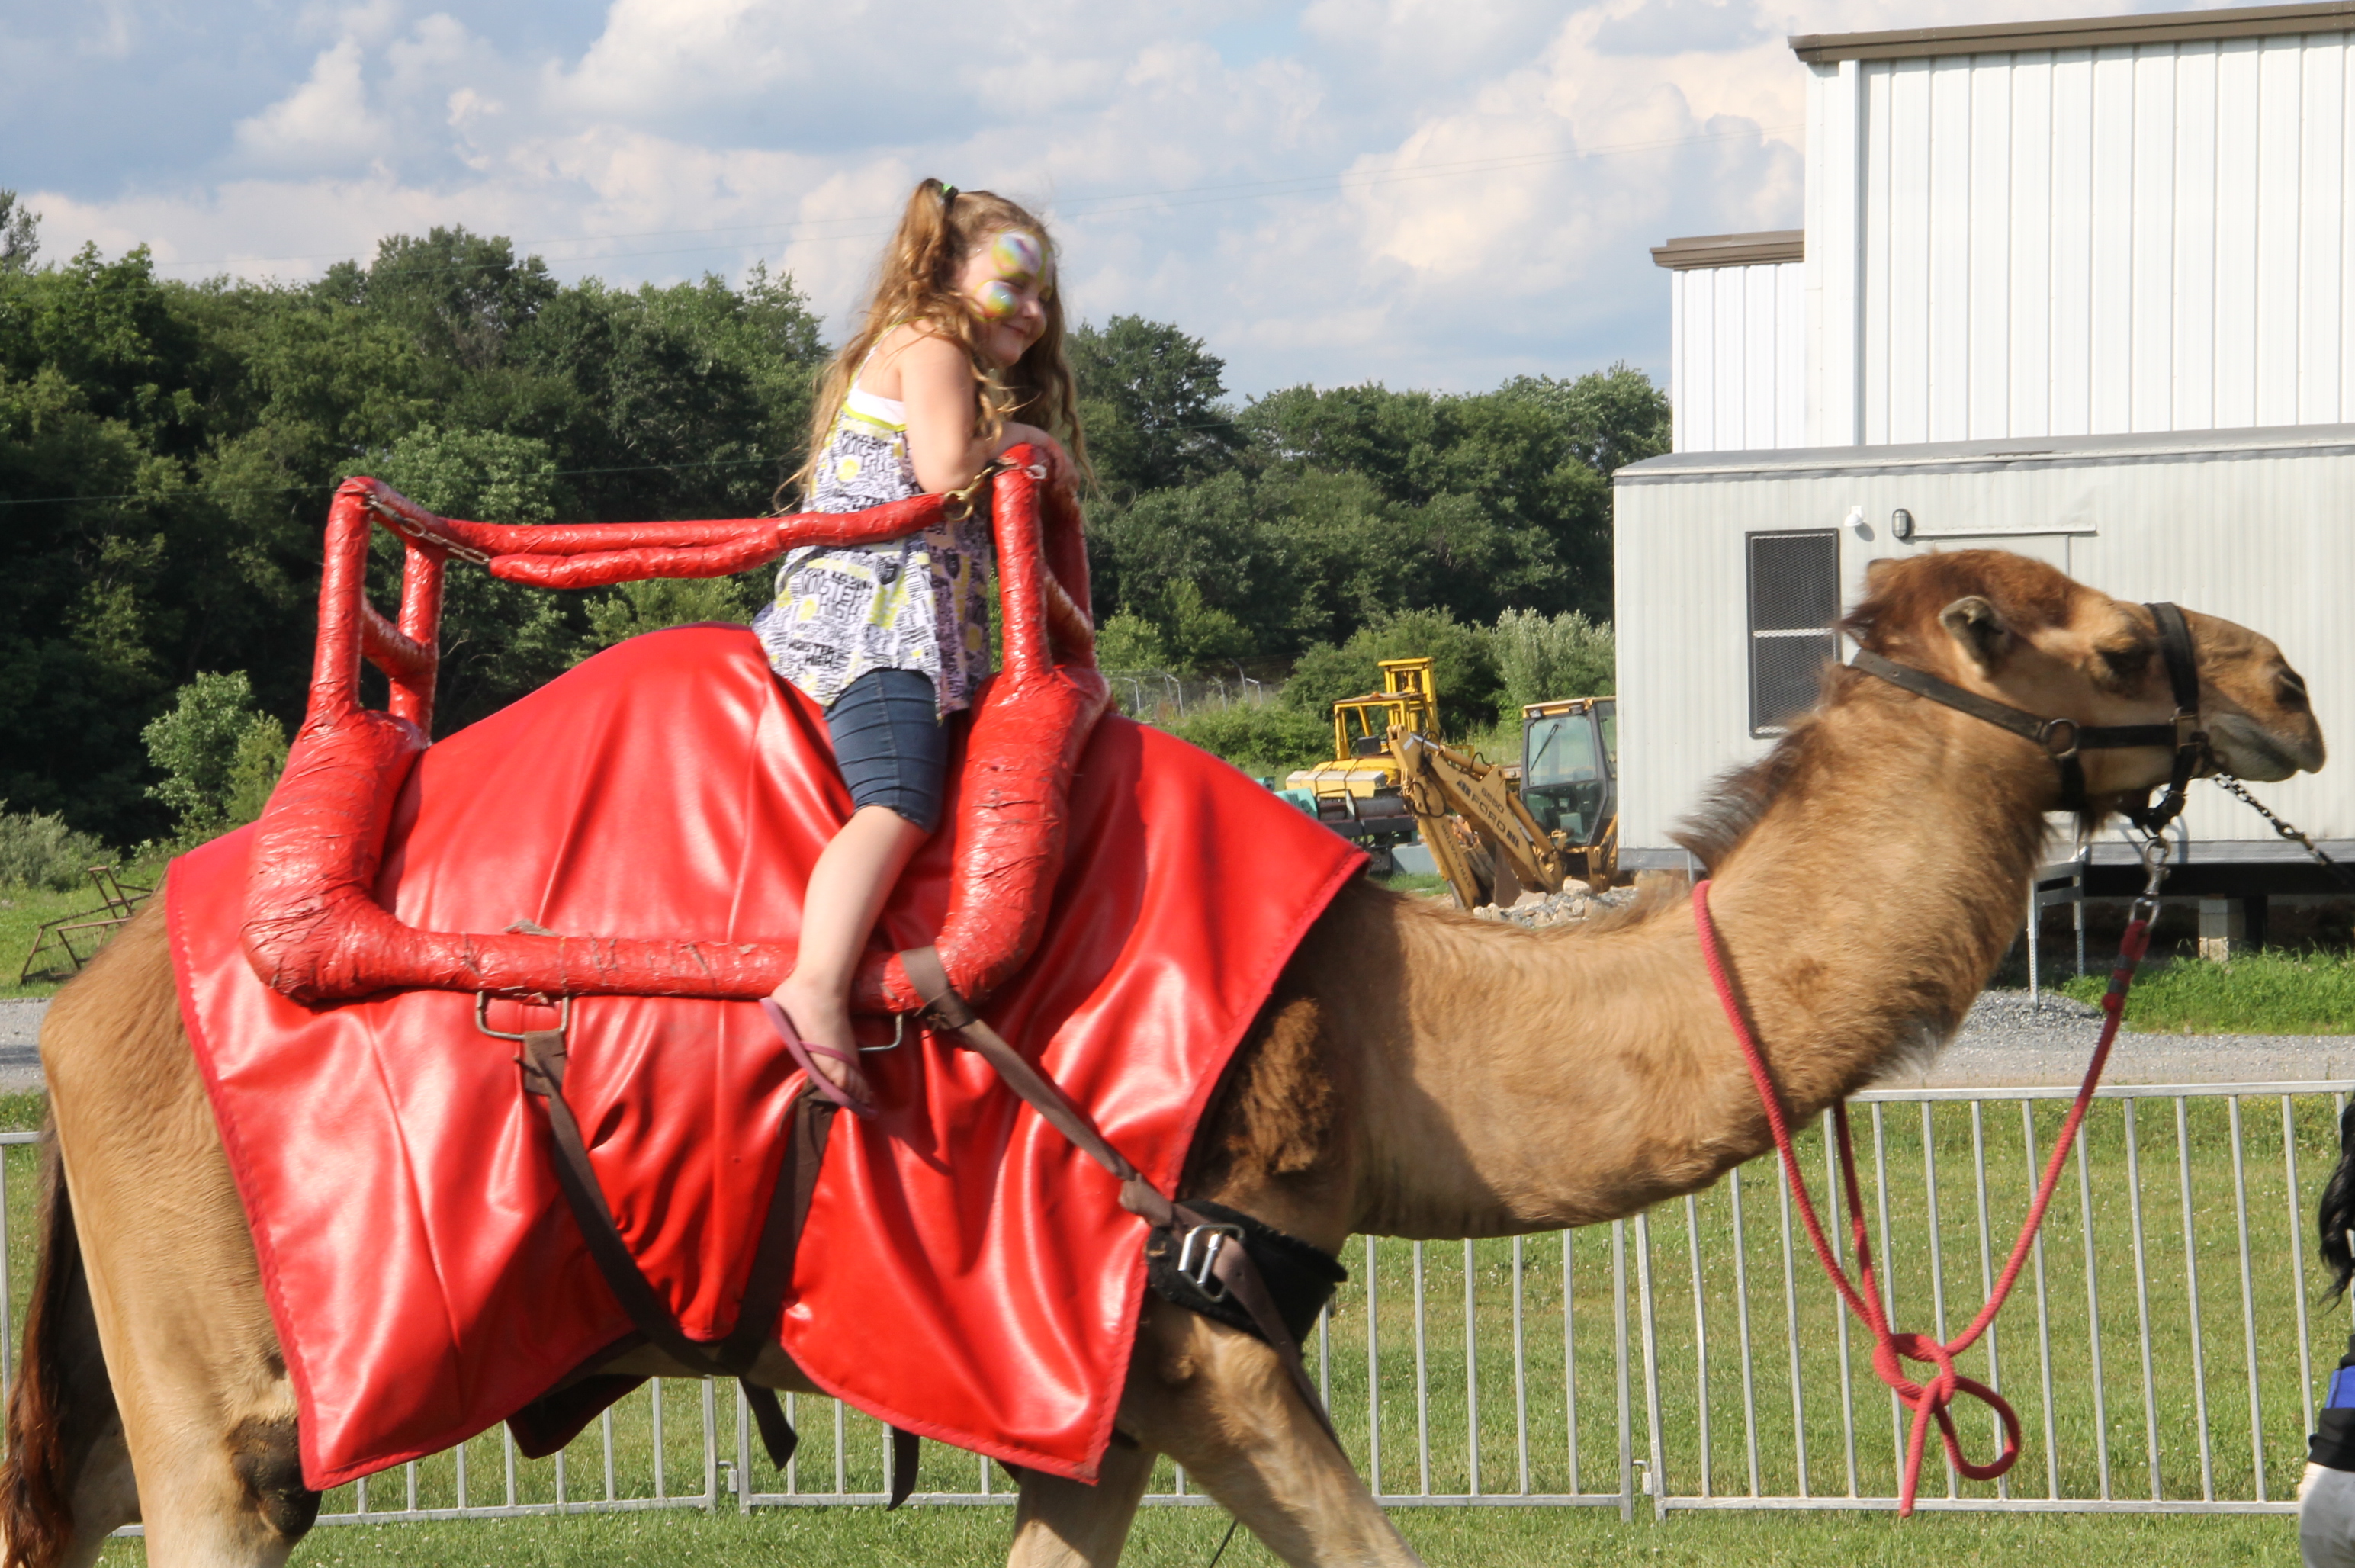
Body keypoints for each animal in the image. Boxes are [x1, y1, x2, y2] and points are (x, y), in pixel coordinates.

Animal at [0, 549, 2327, 1568]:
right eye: (2113, 638)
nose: (2288, 678)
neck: (1397, 1010)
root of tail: (97, 993)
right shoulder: (1207, 1328)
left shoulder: (1091, 1379)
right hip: (230, 1373)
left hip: (160, 1362)